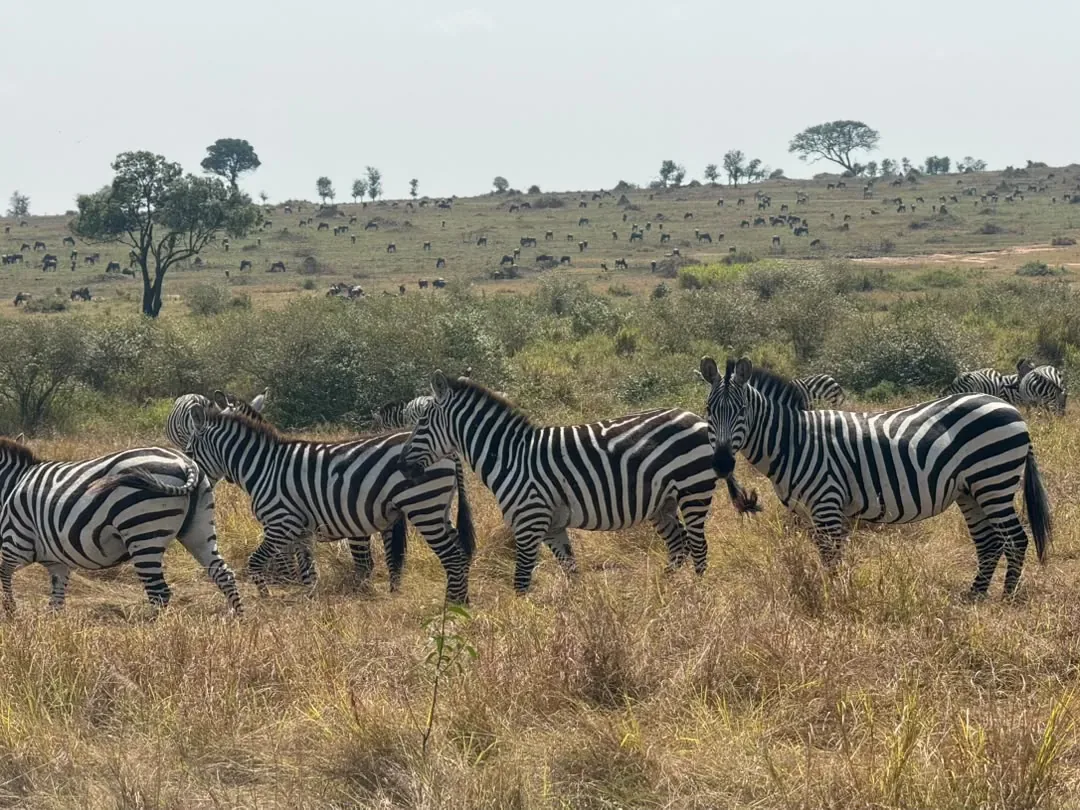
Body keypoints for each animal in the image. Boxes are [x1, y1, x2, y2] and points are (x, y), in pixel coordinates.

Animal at [0, 438, 241, 613]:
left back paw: (153, 635)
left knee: (159, 592)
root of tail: (186, 463)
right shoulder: (57, 562)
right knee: (223, 574)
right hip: (199, 530)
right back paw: (238, 620)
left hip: (143, 531)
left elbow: (4, 579)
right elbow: (56, 601)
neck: (11, 485)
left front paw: (12, 616)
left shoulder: (14, 543)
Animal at [183, 406, 474, 602]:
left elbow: (255, 562)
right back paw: (461, 601)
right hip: (439, 508)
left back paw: (453, 604)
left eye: (188, 452)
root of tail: (449, 452)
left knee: (453, 556)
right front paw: (311, 601)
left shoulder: (281, 523)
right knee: (460, 553)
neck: (263, 467)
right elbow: (307, 570)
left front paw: (265, 597)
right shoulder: (302, 529)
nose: (194, 486)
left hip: (424, 505)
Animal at [399, 372, 758, 594]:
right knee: (678, 545)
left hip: (692, 489)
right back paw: (664, 588)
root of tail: (698, 418)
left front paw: (522, 626)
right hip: (664, 503)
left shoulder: (529, 522)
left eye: (421, 424)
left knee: (698, 546)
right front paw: (579, 617)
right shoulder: (552, 527)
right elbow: (571, 571)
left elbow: (521, 581)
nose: (403, 468)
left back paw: (696, 592)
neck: (510, 456)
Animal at [699, 356, 1052, 598]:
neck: (795, 441)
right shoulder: (814, 511)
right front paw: (832, 593)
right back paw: (974, 595)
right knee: (989, 543)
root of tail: (1009, 407)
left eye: (742, 411)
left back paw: (1006, 598)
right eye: (708, 410)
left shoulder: (827, 503)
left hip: (994, 482)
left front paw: (834, 599)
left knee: (1015, 539)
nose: (721, 464)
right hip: (971, 490)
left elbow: (831, 558)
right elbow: (824, 556)